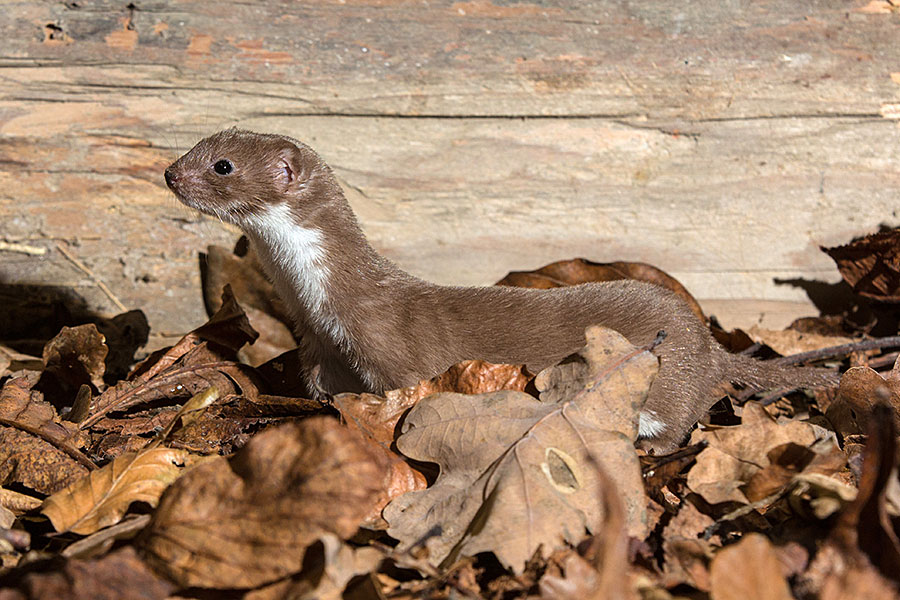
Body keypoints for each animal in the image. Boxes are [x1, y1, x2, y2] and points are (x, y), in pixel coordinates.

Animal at [163, 130, 836, 450]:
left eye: (222, 165)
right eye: (197, 144)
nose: (169, 172)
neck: (321, 304)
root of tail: (708, 341)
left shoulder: (394, 348)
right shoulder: (320, 349)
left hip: (666, 382)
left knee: (676, 423)